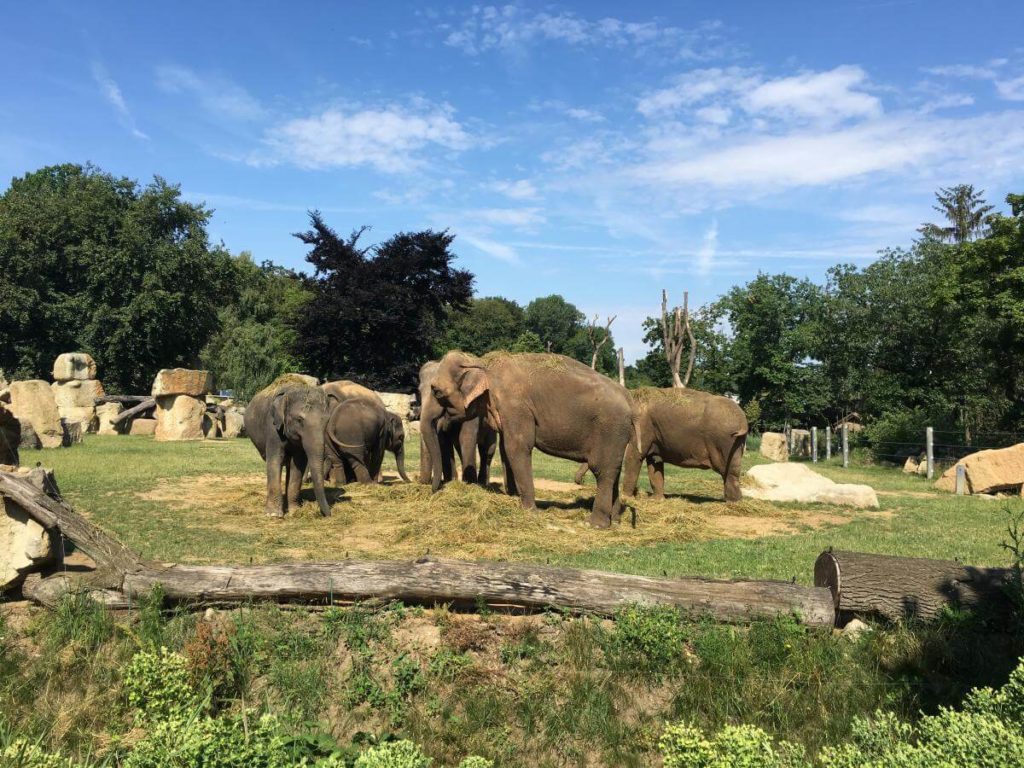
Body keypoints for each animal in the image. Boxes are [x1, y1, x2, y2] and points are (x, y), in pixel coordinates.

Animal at [243, 376, 335, 520]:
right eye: (299, 420)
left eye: (327, 421)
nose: (329, 514)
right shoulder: (273, 427)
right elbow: (275, 460)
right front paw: (274, 514)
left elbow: (298, 464)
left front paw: (295, 511)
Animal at [423, 354, 630, 528]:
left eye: (437, 392)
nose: (435, 490)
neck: (483, 363)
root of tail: (630, 401)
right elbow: (505, 449)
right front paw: (514, 496)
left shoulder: (515, 406)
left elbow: (517, 447)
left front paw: (528, 511)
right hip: (617, 438)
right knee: (613, 470)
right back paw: (616, 521)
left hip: (610, 430)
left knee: (602, 471)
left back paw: (594, 524)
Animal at [614, 385, 753, 505]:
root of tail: (743, 420)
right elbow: (654, 462)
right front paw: (656, 500)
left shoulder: (643, 426)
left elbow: (635, 455)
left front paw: (625, 498)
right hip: (737, 442)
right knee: (733, 469)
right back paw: (736, 502)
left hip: (726, 441)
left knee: (729, 471)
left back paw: (732, 503)